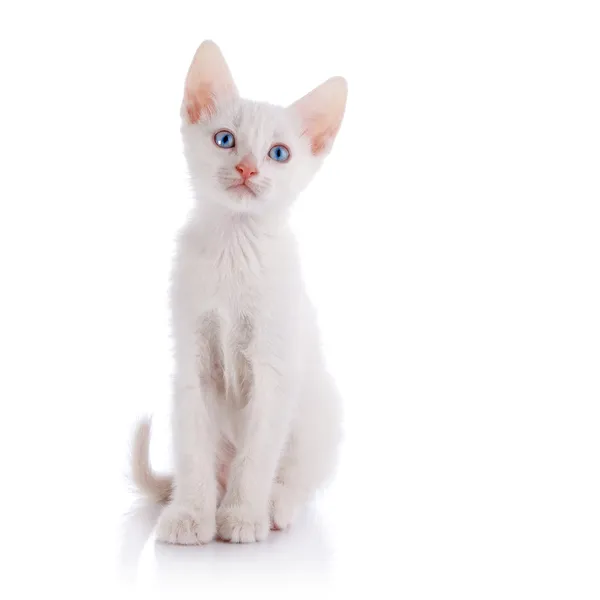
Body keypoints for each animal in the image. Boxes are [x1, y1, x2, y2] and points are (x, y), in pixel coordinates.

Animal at [131, 37, 346, 544]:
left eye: (279, 153)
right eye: (225, 139)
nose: (247, 169)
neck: (234, 245)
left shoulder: (273, 368)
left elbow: (257, 456)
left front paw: (243, 516)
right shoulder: (192, 365)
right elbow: (193, 451)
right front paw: (192, 515)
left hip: (322, 415)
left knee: (298, 478)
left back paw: (276, 506)